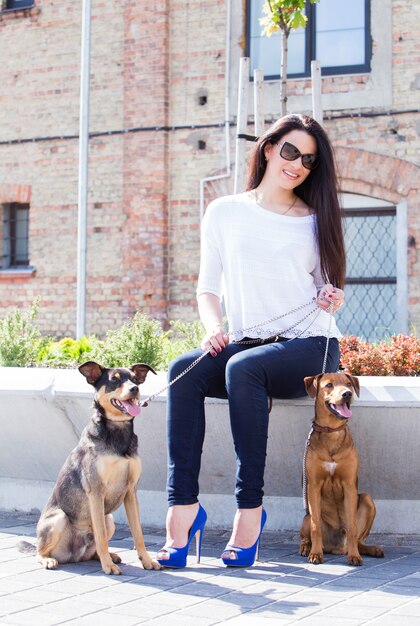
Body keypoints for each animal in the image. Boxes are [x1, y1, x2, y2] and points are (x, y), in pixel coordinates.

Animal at [17, 360, 161, 572]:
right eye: (114, 380)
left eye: (135, 379)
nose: (134, 389)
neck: (118, 431)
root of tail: (73, 556)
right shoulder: (96, 491)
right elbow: (101, 537)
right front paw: (108, 567)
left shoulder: (131, 492)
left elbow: (138, 533)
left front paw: (147, 560)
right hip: (59, 518)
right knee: (39, 551)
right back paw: (49, 559)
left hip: (109, 519)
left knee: (93, 549)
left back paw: (108, 555)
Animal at [298, 370, 384, 564]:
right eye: (329, 385)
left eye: (349, 384)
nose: (347, 394)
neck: (332, 431)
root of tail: (335, 548)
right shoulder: (313, 486)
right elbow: (316, 527)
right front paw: (315, 554)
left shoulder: (349, 485)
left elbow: (352, 528)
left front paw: (354, 556)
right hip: (306, 516)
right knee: (307, 533)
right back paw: (307, 548)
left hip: (367, 499)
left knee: (359, 539)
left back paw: (370, 549)